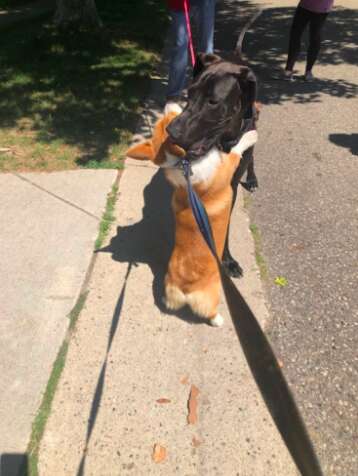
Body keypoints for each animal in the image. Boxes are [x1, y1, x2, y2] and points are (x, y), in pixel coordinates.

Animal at [126, 105, 258, 326]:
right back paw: (218, 320)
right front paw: (250, 135)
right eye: (173, 117)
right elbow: (236, 149)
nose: (169, 103)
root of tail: (183, 290)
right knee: (208, 311)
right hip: (212, 295)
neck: (183, 164)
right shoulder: (226, 165)